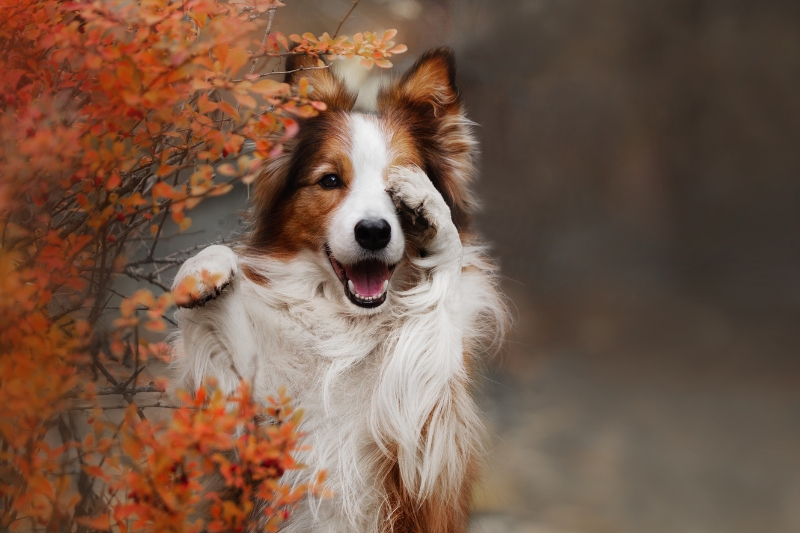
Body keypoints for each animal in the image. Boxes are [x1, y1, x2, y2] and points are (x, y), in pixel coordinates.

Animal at [171, 48, 506, 532]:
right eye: (330, 180)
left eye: (397, 187)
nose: (374, 232)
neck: (347, 325)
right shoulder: (247, 442)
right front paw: (205, 268)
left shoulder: (427, 454)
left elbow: (435, 309)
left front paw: (432, 212)